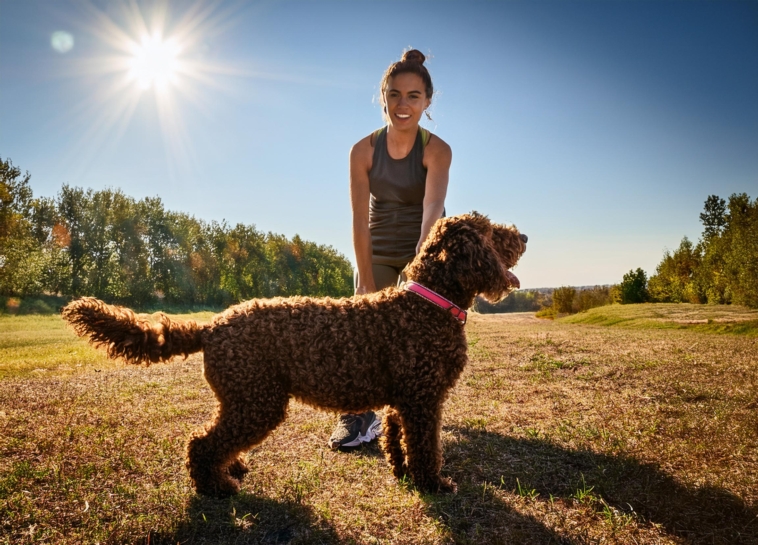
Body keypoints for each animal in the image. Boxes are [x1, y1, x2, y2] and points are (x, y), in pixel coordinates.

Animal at [62, 212, 528, 498]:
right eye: (489, 232)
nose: (523, 235)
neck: (426, 303)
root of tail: (212, 327)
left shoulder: (406, 400)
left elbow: (398, 440)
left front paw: (402, 473)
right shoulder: (423, 401)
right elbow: (427, 448)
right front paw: (433, 485)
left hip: (244, 400)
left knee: (216, 439)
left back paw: (230, 469)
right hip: (257, 401)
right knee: (201, 443)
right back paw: (215, 488)